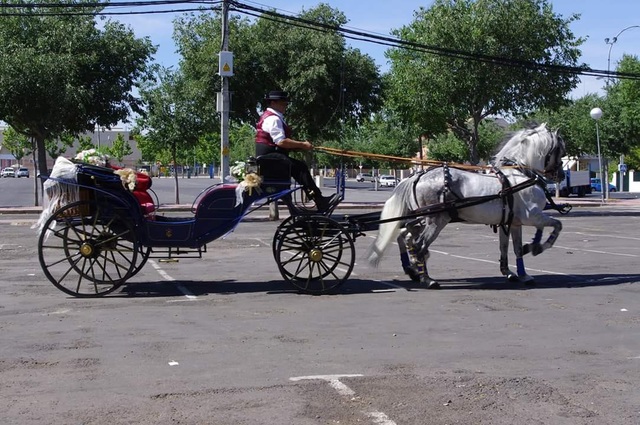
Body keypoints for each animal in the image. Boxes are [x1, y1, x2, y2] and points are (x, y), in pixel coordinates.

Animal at [370, 123, 564, 288]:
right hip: (436, 220)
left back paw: (414, 269)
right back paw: (426, 278)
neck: (520, 174)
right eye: (560, 150)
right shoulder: (532, 216)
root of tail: (417, 176)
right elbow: (557, 225)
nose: (561, 175)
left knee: (407, 236)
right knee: (418, 244)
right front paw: (536, 247)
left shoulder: (512, 222)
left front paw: (516, 272)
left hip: (421, 218)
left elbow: (511, 248)